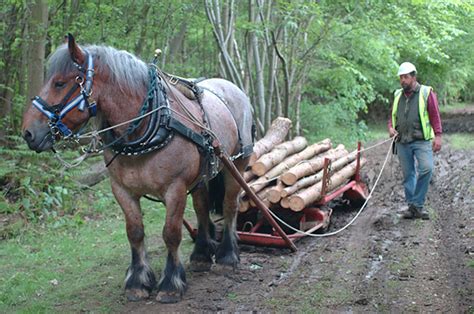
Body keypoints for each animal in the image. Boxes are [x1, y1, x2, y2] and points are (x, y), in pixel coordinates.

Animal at [20, 35, 254, 304]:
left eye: (59, 83)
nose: (28, 132)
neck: (149, 126)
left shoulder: (175, 188)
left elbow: (171, 233)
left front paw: (170, 284)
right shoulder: (122, 189)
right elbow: (135, 232)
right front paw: (138, 281)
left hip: (237, 164)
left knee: (229, 205)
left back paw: (227, 256)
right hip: (202, 173)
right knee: (202, 207)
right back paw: (201, 255)